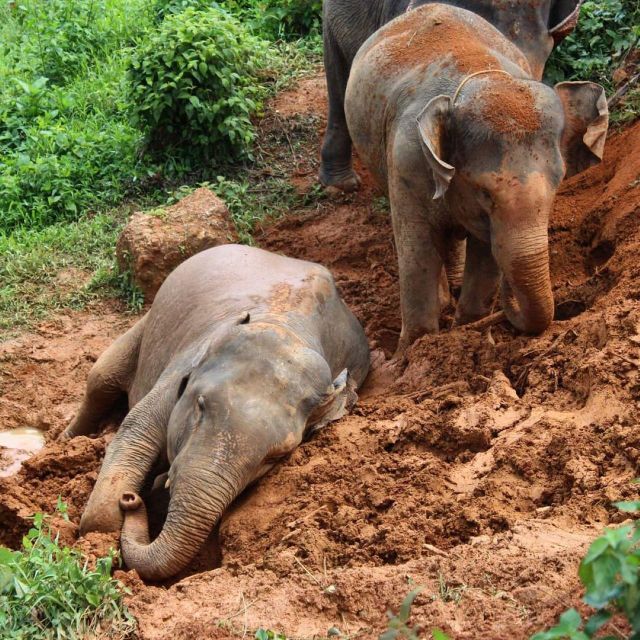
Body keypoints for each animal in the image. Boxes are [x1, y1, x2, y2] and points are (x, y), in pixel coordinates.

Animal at [63, 244, 370, 580]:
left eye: (276, 456)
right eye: (200, 405)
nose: (131, 499)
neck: (284, 325)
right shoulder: (183, 363)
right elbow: (136, 431)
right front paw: (100, 541)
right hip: (148, 322)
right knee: (101, 379)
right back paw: (66, 440)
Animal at [344, 3, 608, 350]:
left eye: (557, 188)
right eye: (484, 193)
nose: (508, 309)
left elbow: (486, 255)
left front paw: (468, 330)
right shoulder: (407, 159)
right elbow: (417, 250)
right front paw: (414, 349)